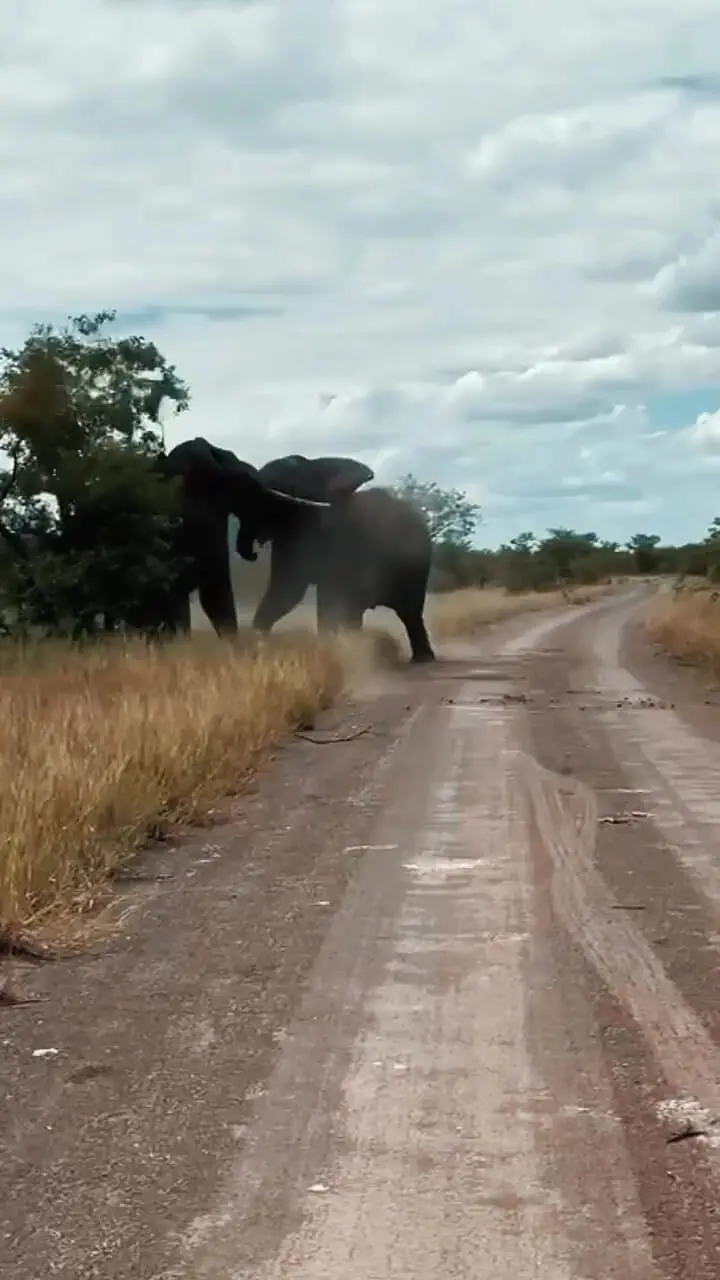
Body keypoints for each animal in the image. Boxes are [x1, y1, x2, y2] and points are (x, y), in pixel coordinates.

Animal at [235, 455, 435, 665]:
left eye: (272, 494)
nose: (252, 554)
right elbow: (288, 591)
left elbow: (297, 591)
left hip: (416, 562)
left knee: (409, 611)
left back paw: (421, 659)